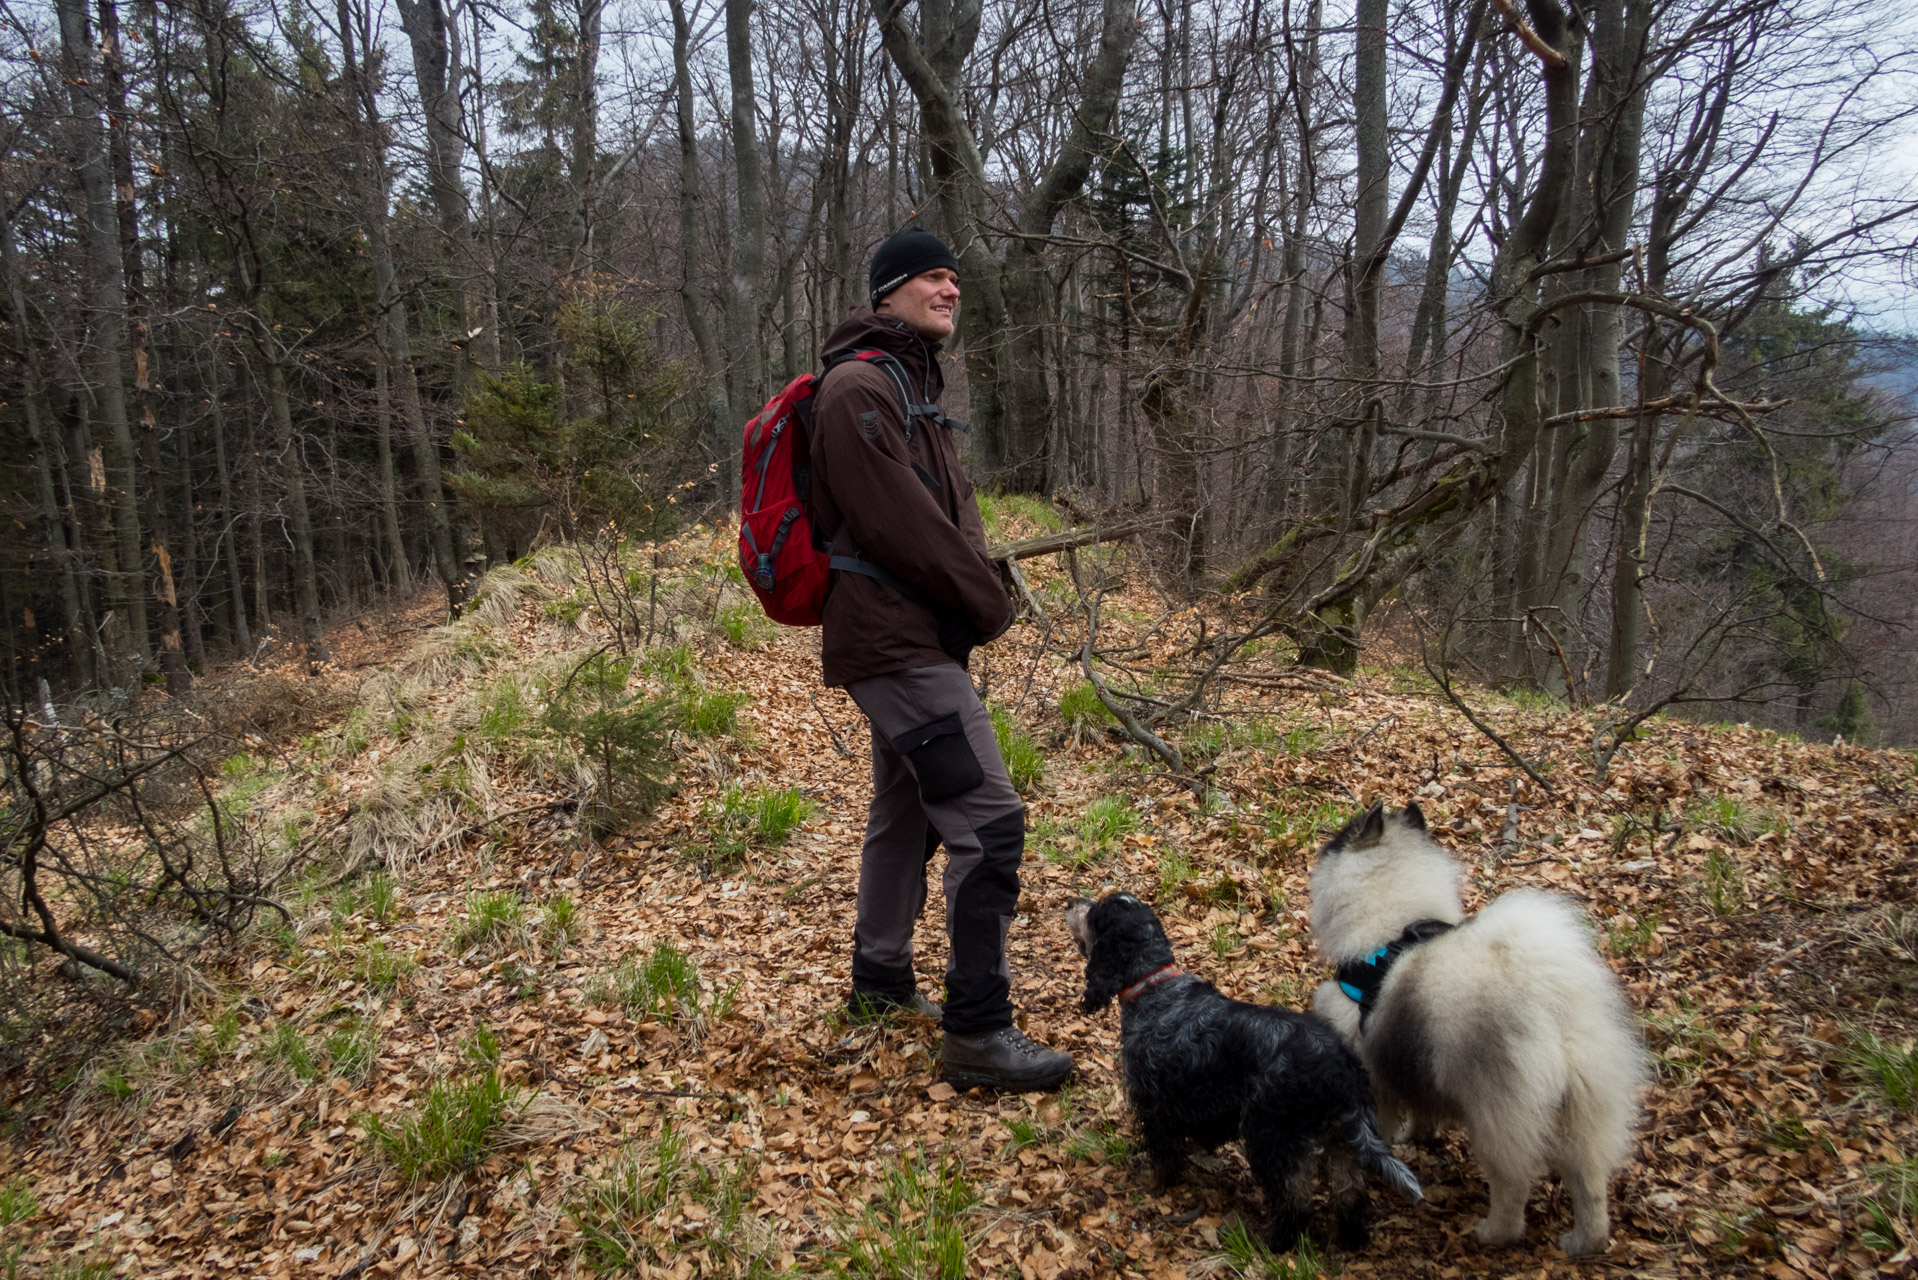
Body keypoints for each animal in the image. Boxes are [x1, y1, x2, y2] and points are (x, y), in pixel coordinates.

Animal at [1074, 898, 1419, 1243]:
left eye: (1094, 914)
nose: (1072, 902)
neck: (1154, 987)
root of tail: (1340, 1070)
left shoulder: (1154, 1103)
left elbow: (1163, 1153)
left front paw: (1155, 1182)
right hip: (1339, 1137)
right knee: (1349, 1191)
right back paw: (1350, 1238)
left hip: (1269, 1133)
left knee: (1296, 1196)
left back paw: (1277, 1240)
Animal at [1304, 805, 1649, 1258]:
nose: (1324, 842)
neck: (1392, 927)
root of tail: (1550, 1007)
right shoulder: (1418, 1065)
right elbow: (1423, 1111)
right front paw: (1418, 1138)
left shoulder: (1373, 1072)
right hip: (1581, 1114)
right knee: (1589, 1185)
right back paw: (1582, 1242)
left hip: (1497, 1120)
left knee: (1513, 1187)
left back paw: (1492, 1234)